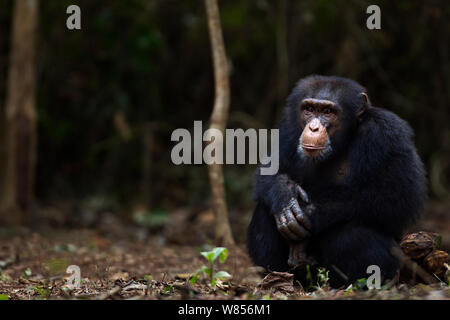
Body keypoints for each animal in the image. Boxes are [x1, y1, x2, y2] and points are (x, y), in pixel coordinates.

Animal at [248, 75, 428, 288]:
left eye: (328, 112)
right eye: (309, 109)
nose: (313, 127)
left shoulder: (387, 132)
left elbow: (398, 195)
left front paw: (311, 211)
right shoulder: (288, 128)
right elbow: (269, 172)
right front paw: (285, 194)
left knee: (351, 229)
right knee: (265, 211)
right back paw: (279, 280)